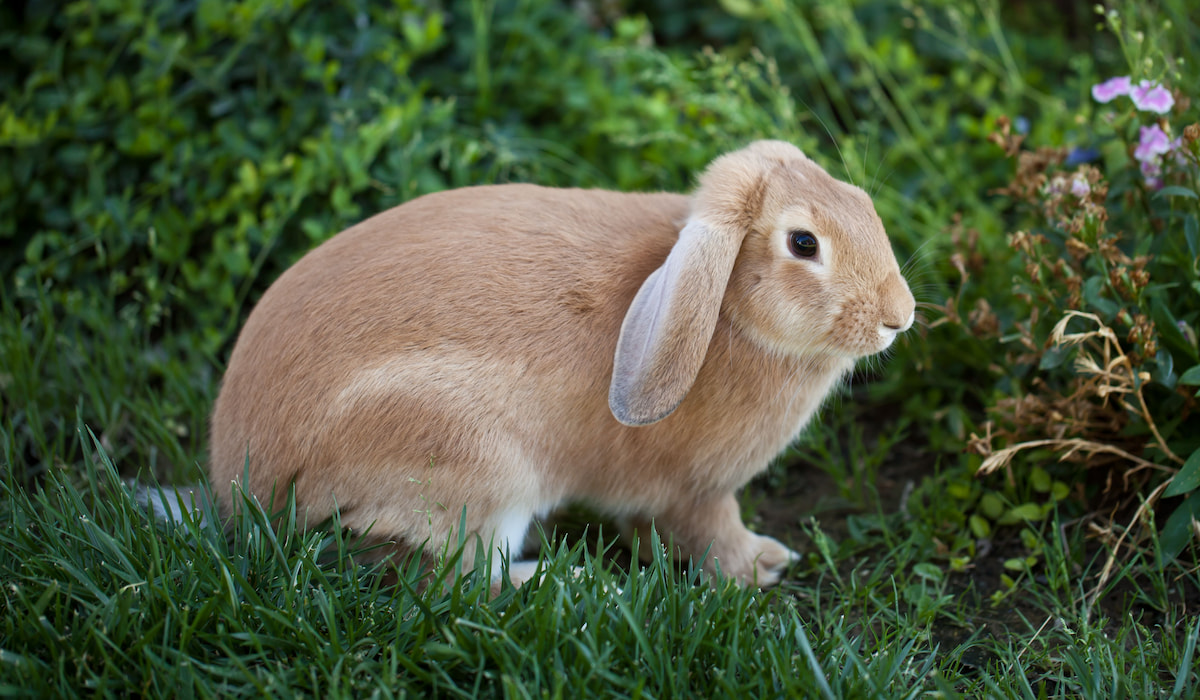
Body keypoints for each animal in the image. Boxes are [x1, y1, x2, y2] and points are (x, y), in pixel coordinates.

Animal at [208, 140, 916, 588]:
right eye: (804, 243)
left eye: (859, 198)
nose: (899, 316)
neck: (725, 308)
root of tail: (244, 483)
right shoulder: (698, 491)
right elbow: (714, 532)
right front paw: (762, 567)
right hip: (480, 473)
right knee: (464, 584)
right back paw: (570, 578)